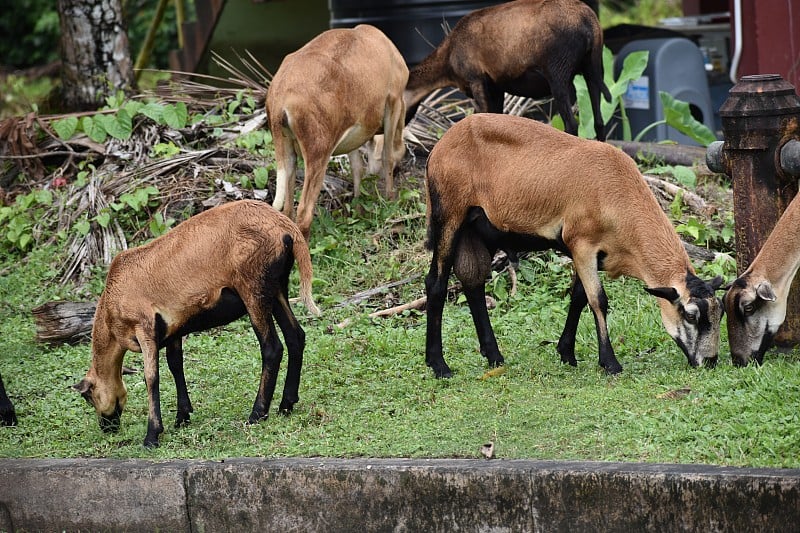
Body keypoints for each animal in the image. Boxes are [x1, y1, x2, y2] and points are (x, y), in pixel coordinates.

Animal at [73, 198, 320, 444]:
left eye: (89, 397)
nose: (107, 427)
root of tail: (287, 228)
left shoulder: (145, 326)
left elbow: (151, 377)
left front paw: (152, 435)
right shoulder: (172, 328)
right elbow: (175, 365)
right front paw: (182, 417)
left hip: (253, 287)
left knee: (272, 348)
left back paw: (257, 413)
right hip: (276, 287)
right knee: (296, 336)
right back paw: (286, 404)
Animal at [424, 114, 724, 376]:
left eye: (719, 313)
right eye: (691, 316)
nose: (710, 361)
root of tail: (442, 143)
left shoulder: (594, 253)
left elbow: (579, 297)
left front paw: (567, 353)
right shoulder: (581, 243)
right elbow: (598, 300)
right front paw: (610, 363)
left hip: (478, 229)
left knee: (473, 282)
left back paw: (494, 356)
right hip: (448, 214)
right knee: (436, 283)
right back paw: (439, 365)